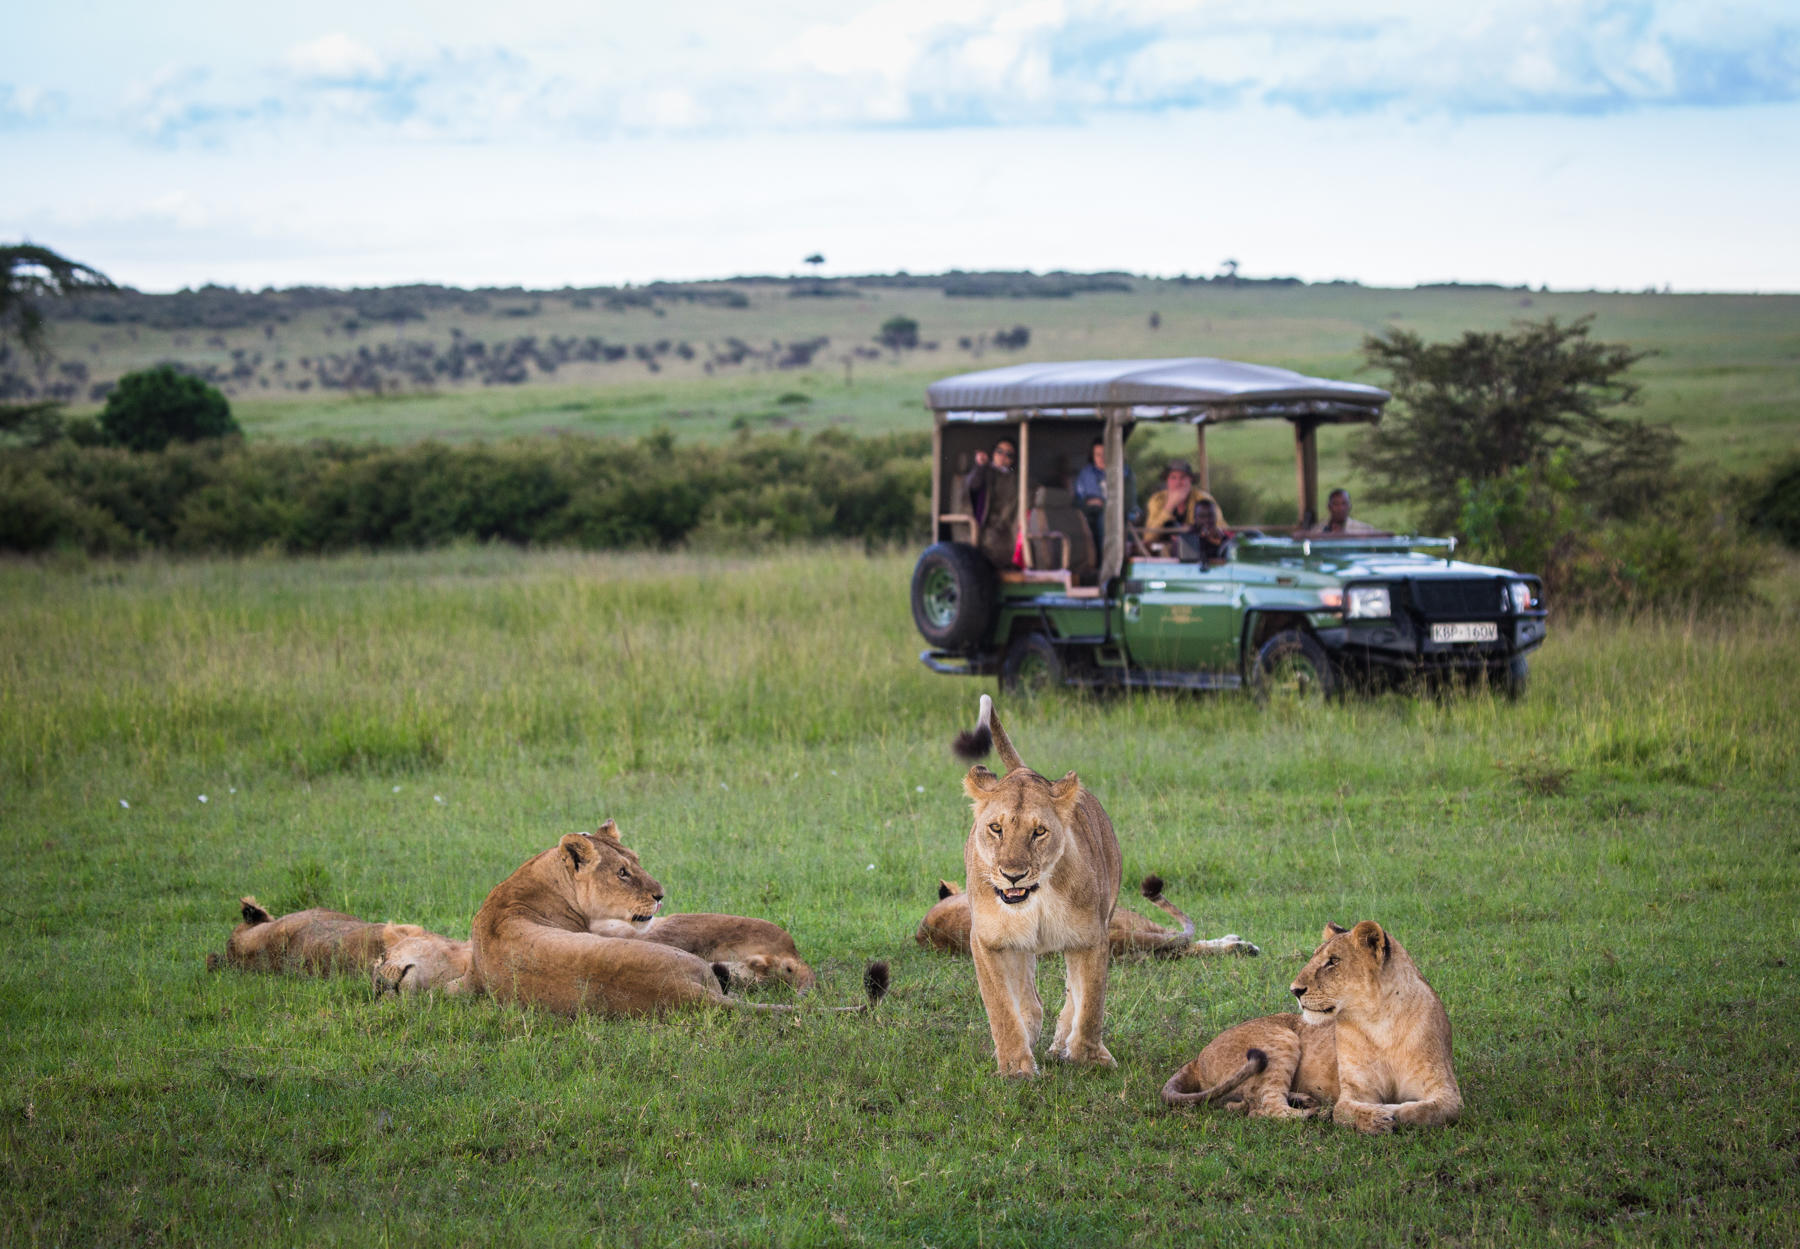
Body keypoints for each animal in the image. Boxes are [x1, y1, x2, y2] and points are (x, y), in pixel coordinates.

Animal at [952, 694, 1123, 1077]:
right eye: (996, 828)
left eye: (1039, 831)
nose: (1013, 874)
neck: (1037, 898)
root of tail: (1023, 770)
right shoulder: (987, 941)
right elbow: (1002, 1007)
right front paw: (1016, 1066)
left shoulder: (1092, 937)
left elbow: (1091, 1004)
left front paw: (1087, 1057)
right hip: (1016, 947)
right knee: (1029, 1001)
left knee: (1071, 996)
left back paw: (1061, 1044)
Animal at [1160, 920, 1462, 1134]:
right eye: (1316, 957)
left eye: (1333, 962)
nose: (1295, 990)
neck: (1379, 1023)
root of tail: (1197, 1058)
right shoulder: (1355, 1091)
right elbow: (1344, 1110)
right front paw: (1377, 1116)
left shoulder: (1446, 1089)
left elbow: (1430, 1110)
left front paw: (1393, 1112)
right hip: (1280, 1038)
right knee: (1264, 1107)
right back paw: (1312, 1113)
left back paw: (1305, 1101)